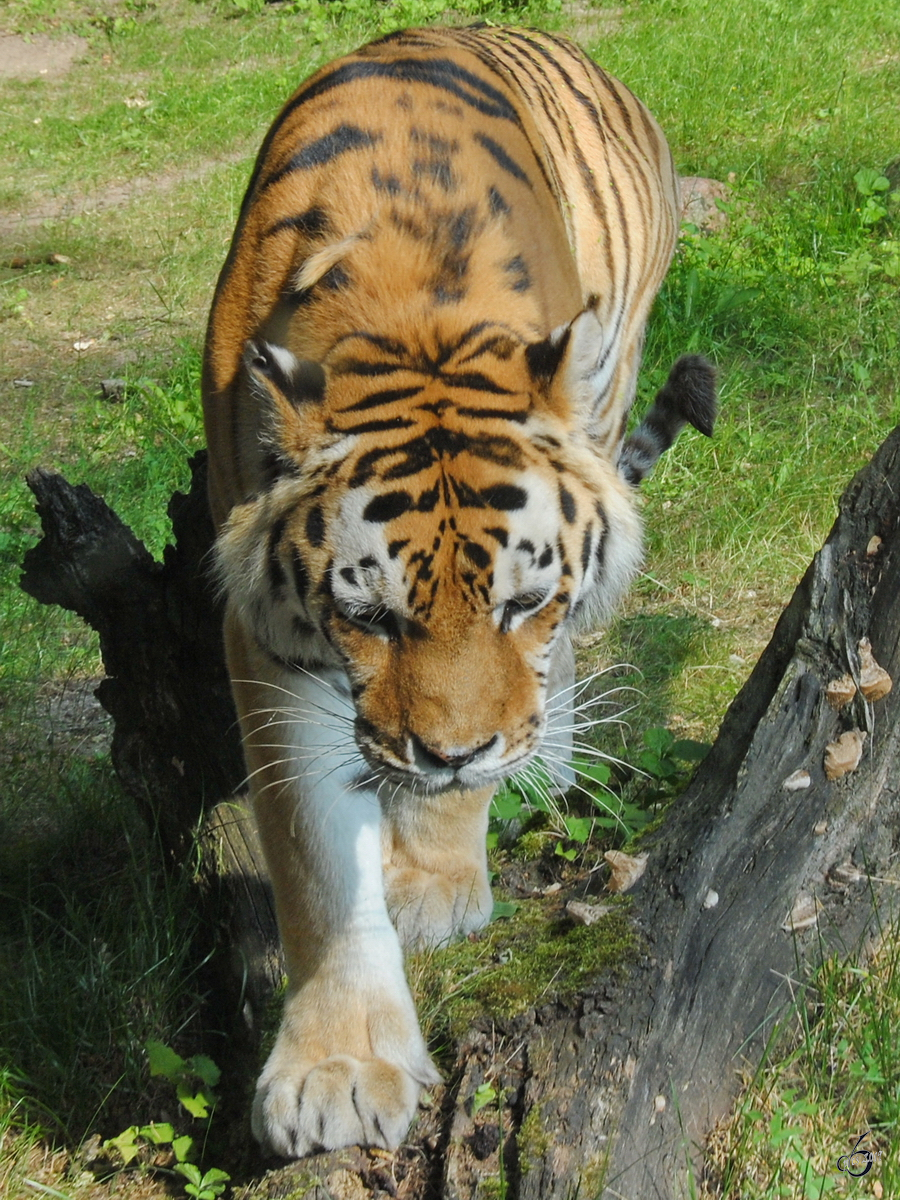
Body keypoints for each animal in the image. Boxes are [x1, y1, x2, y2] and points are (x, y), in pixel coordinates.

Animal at [200, 23, 715, 1156]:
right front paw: (338, 1067)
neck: (403, 307)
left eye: (521, 605)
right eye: (369, 617)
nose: (448, 752)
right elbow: (311, 850)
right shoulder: (268, 633)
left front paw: (434, 882)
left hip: (617, 374)